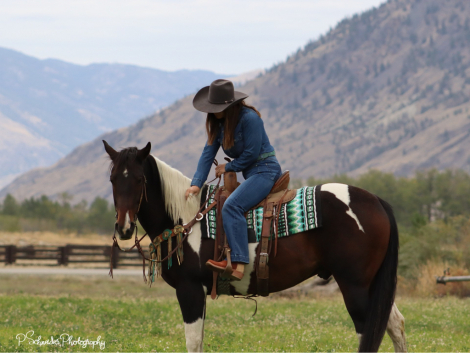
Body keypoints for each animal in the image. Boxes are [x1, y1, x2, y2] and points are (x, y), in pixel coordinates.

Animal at [103, 141, 408, 352]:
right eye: (113, 179)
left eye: (139, 179)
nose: (124, 227)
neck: (186, 218)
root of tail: (376, 201)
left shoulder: (189, 290)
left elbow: (193, 342)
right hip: (371, 285)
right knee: (395, 325)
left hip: (354, 285)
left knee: (370, 331)